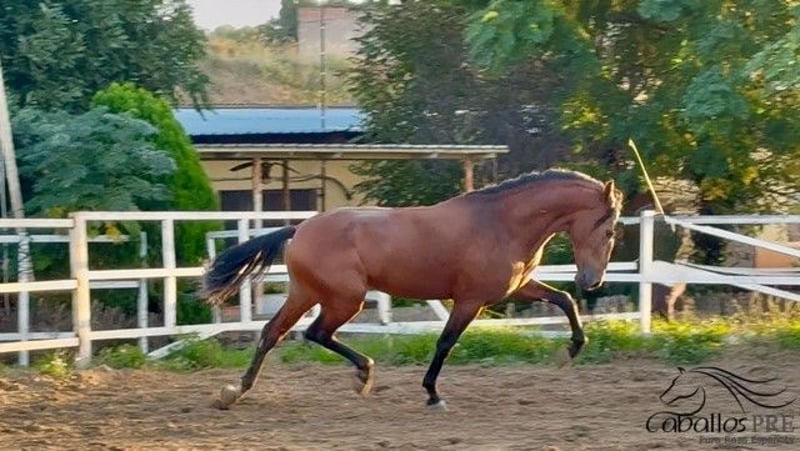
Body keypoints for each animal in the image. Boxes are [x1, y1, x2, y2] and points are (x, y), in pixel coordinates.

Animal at [203, 168, 624, 410]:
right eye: (609, 230)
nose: (592, 280)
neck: (501, 223)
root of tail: (301, 228)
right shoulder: (470, 300)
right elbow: (445, 342)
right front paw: (433, 394)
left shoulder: (514, 289)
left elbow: (563, 300)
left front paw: (569, 351)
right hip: (345, 299)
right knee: (315, 332)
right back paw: (364, 373)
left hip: (307, 294)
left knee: (272, 332)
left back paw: (234, 392)